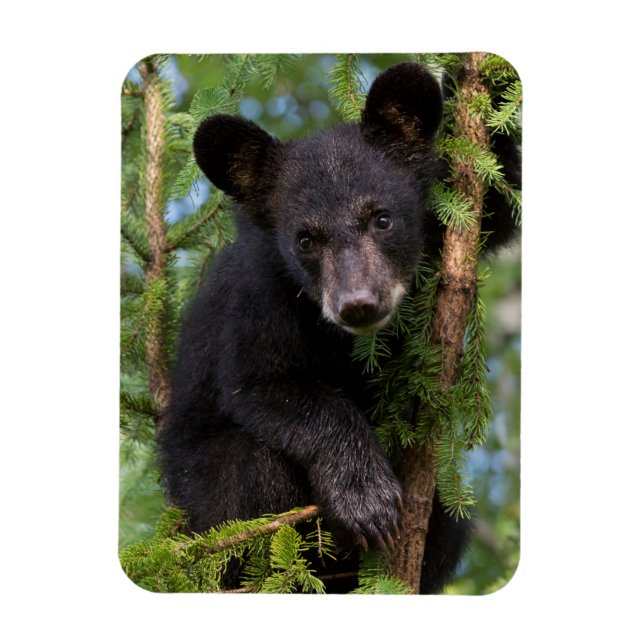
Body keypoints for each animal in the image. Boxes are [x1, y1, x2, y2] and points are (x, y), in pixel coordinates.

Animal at [159, 61, 520, 593]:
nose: (358, 304)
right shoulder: (258, 298)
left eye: (382, 219)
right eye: (305, 239)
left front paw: (483, 82)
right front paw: (365, 499)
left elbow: (500, 197)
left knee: (449, 521)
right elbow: (265, 384)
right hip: (203, 503)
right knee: (246, 471)